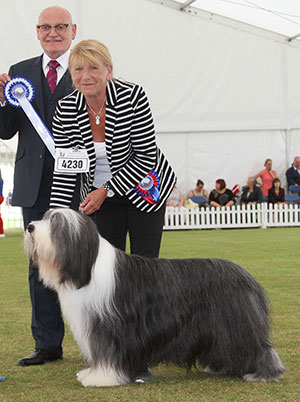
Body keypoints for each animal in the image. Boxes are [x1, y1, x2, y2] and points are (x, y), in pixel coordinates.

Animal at [24, 207, 286, 386]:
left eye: (56, 223)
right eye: (47, 216)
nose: (30, 227)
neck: (87, 267)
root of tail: (247, 276)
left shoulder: (107, 326)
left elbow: (106, 353)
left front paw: (100, 377)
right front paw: (91, 373)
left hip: (237, 324)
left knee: (259, 348)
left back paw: (262, 373)